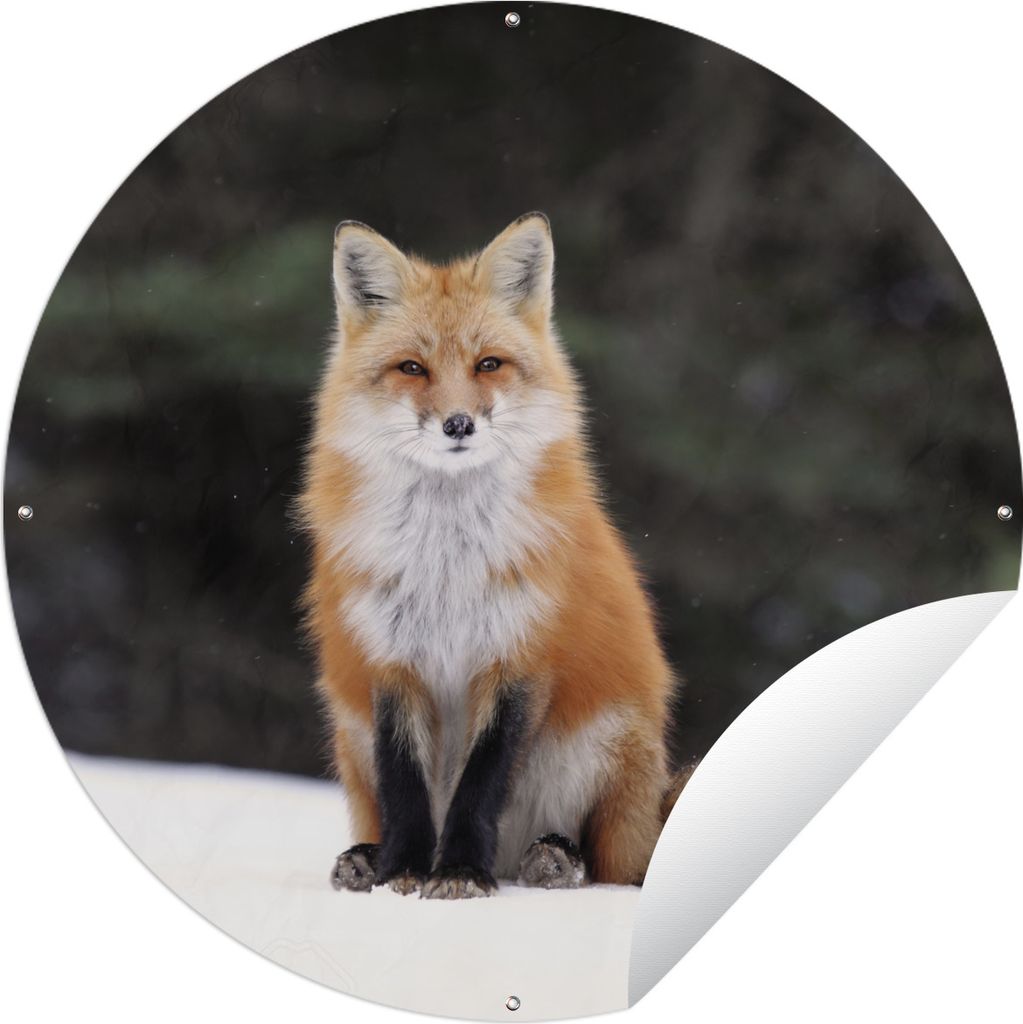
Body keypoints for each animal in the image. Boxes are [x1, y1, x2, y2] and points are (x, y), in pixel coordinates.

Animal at [300, 212, 683, 899]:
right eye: (413, 368)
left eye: (488, 364)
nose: (458, 424)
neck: (447, 565)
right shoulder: (390, 661)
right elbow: (405, 786)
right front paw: (402, 870)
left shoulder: (519, 657)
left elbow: (481, 783)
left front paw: (457, 873)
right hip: (351, 734)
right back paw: (364, 858)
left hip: (604, 748)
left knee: (609, 866)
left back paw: (554, 860)